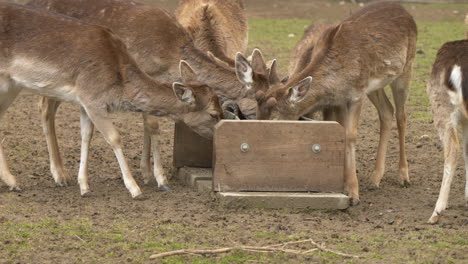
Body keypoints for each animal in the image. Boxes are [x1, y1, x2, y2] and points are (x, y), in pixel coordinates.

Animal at [0, 2, 223, 198]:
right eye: (214, 114)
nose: (216, 139)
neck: (119, 81)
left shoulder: (85, 102)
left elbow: (86, 135)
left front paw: (84, 187)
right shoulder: (92, 97)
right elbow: (114, 137)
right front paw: (135, 189)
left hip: (12, 86)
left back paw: (12, 181)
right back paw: (14, 181)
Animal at [26, 0, 270, 190]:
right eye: (264, 98)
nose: (263, 128)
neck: (171, 53)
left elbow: (148, 123)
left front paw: (146, 173)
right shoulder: (145, 73)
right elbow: (153, 125)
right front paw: (159, 178)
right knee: (44, 107)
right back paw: (59, 175)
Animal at [250, 1, 418, 205]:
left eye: (275, 120)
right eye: (256, 114)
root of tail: (405, 11)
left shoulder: (357, 94)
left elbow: (350, 135)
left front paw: (353, 194)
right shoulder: (339, 100)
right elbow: (340, 130)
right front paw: (344, 184)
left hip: (406, 69)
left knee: (402, 115)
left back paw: (404, 176)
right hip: (375, 84)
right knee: (387, 111)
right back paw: (375, 179)